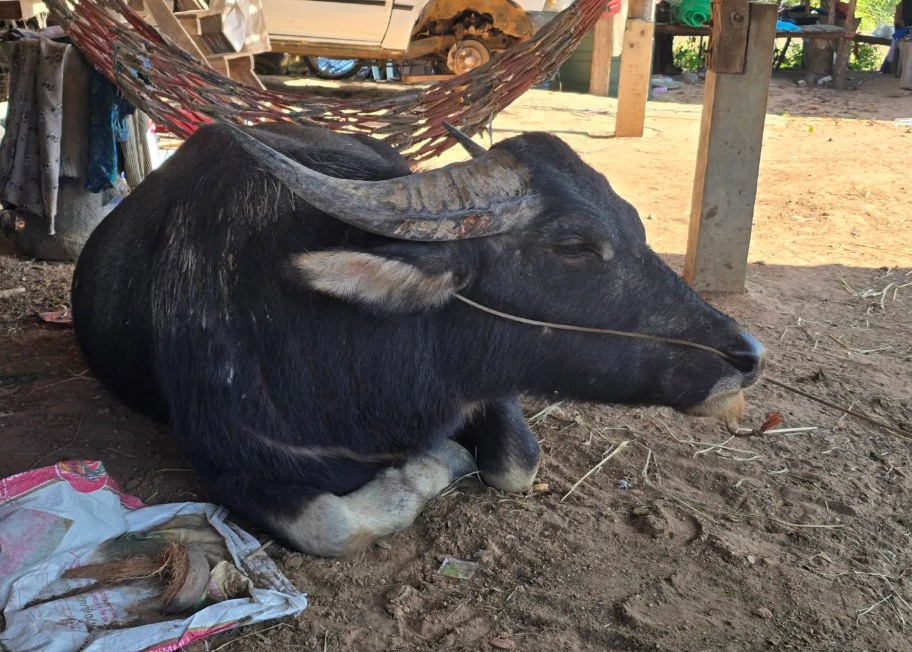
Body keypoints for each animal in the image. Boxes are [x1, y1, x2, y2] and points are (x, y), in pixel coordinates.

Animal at [72, 122, 765, 557]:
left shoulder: (488, 387)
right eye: (572, 246)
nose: (744, 356)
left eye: (634, 221)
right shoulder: (224, 456)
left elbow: (518, 464)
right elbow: (332, 523)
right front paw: (443, 459)